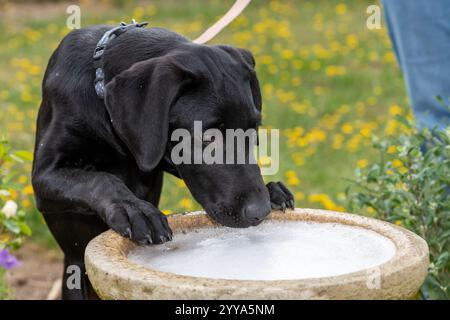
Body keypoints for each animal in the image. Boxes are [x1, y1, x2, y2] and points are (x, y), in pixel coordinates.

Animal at [30, 25, 292, 300]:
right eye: (208, 137)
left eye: (253, 130)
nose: (260, 212)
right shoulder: (44, 177)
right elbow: (100, 179)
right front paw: (135, 210)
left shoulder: (154, 151)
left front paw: (273, 189)